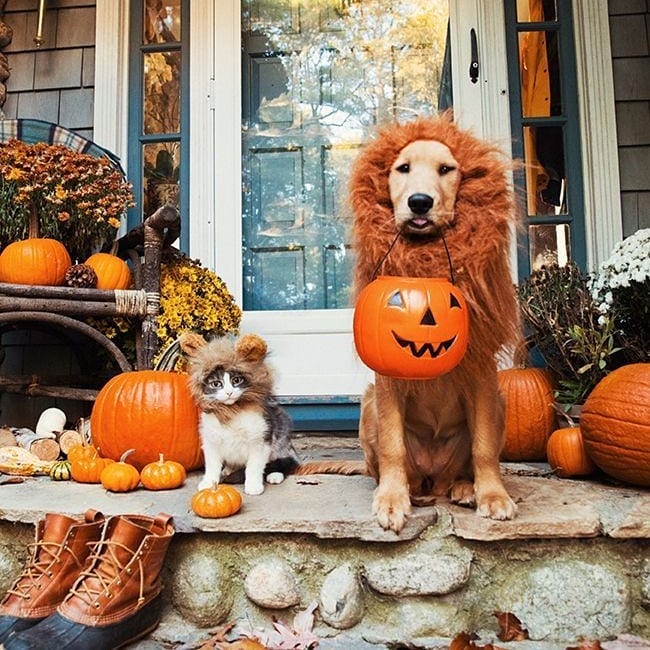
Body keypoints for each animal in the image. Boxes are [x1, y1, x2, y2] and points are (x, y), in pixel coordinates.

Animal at [182, 332, 298, 494]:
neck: (232, 411)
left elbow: (254, 466)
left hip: (282, 437)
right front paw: (209, 482)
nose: (229, 392)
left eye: (236, 380)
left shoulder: (260, 439)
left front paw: (253, 486)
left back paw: (275, 475)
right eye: (216, 384)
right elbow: (212, 466)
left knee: (288, 461)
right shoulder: (211, 440)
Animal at [346, 114, 520, 532]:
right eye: (403, 169)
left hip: (501, 400)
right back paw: (410, 490)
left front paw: (493, 495)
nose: (420, 202)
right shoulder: (387, 381)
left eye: (446, 170)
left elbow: (484, 447)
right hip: (369, 403)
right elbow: (392, 446)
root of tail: (433, 478)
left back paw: (465, 488)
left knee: (463, 467)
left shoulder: (481, 373)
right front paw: (392, 501)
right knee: (391, 468)